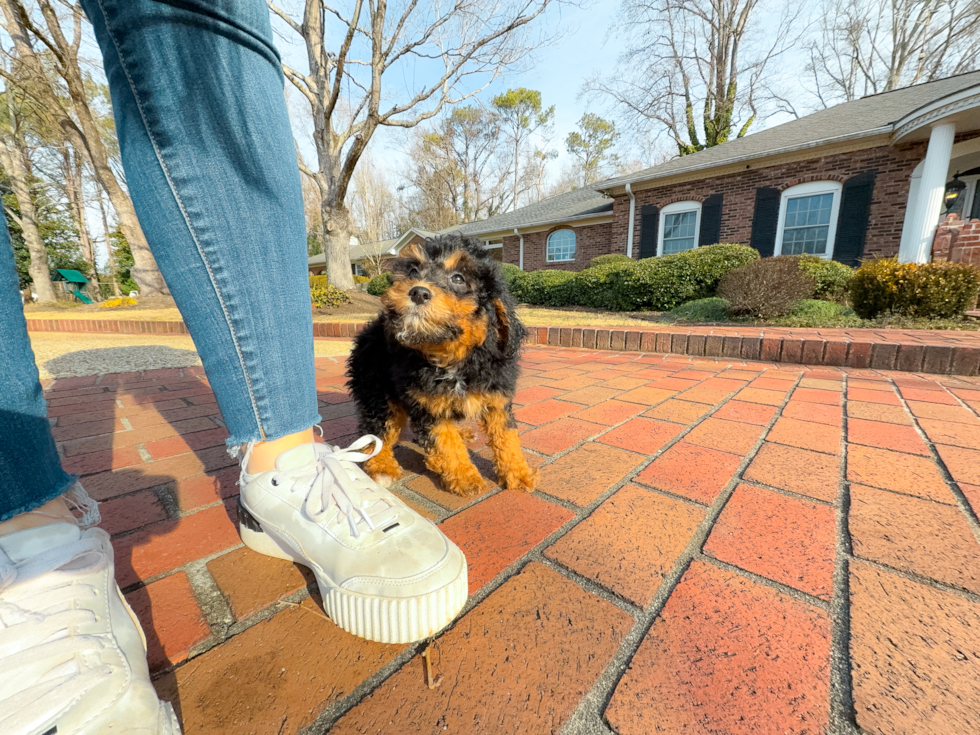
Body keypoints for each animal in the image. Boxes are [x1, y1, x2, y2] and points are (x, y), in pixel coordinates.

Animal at [348, 234, 540, 500]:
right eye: (413, 271)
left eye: (458, 278)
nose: (418, 292)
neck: (453, 357)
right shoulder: (428, 405)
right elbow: (446, 443)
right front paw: (465, 478)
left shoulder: (497, 398)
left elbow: (507, 436)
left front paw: (519, 473)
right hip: (377, 392)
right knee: (378, 432)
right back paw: (381, 467)